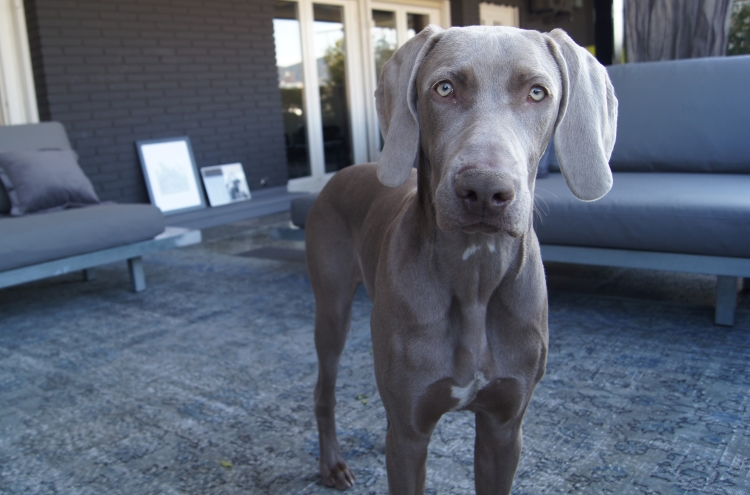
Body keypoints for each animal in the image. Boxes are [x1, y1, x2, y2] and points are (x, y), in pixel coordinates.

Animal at [304, 24, 616, 495]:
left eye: (537, 92)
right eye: (445, 88)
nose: (485, 189)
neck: (475, 276)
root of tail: (341, 173)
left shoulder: (504, 428)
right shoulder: (411, 434)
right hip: (332, 307)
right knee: (325, 391)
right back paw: (332, 465)